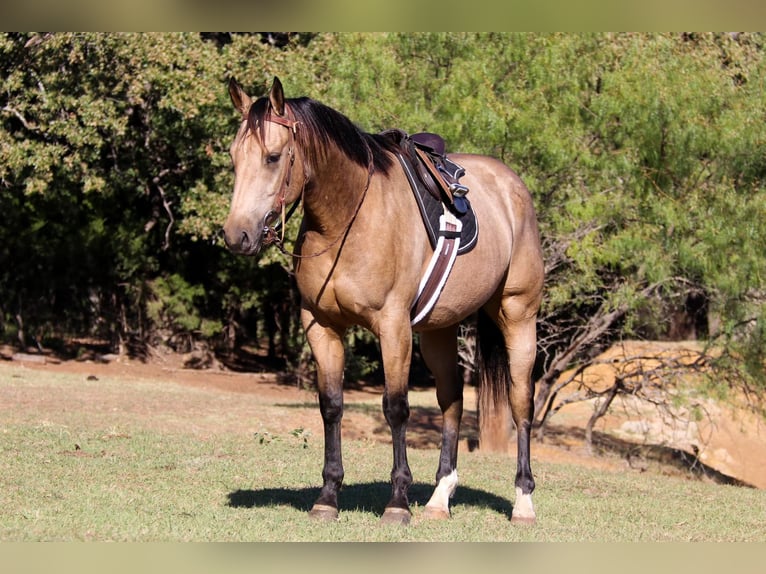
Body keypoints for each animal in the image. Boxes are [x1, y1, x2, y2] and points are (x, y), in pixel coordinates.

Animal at [222, 79, 544, 528]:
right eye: (234, 158)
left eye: (272, 157)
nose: (238, 235)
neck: (346, 221)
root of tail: (512, 186)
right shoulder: (321, 327)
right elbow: (331, 407)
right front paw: (328, 496)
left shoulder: (392, 328)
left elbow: (396, 408)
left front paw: (397, 502)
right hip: (439, 332)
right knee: (452, 403)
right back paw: (439, 498)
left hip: (518, 317)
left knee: (521, 405)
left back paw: (523, 501)